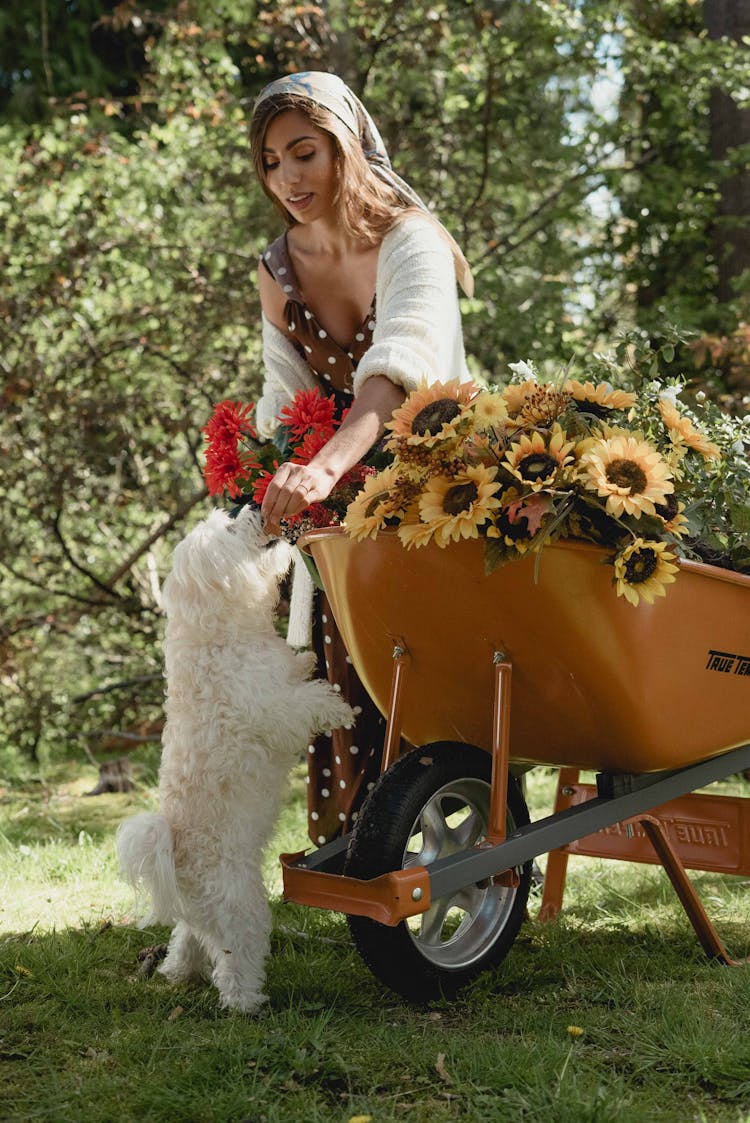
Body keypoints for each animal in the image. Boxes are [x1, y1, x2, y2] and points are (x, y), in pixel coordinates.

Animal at [115, 505, 352, 1015]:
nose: (252, 506)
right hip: (239, 904)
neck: (220, 632)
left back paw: (177, 972)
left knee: (189, 939)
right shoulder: (273, 709)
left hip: (202, 916)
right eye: (229, 527)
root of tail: (175, 853)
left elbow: (296, 671)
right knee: (233, 957)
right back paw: (247, 1001)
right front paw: (339, 707)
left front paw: (305, 663)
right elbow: (305, 704)